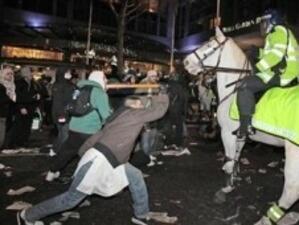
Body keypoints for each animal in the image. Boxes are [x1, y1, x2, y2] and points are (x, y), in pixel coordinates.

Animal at [184, 28, 299, 225]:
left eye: (209, 45)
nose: (185, 62)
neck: (234, 88)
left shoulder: (226, 133)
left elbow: (230, 159)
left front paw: (226, 187)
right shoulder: (240, 134)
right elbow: (237, 156)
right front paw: (234, 179)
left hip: (294, 151)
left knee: (291, 188)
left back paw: (267, 218)